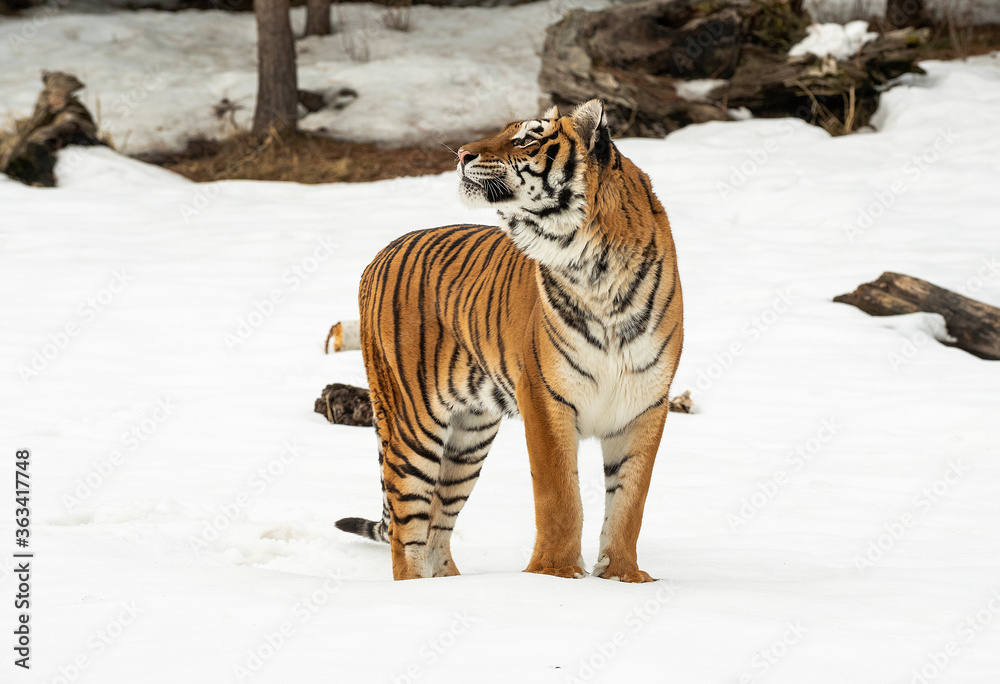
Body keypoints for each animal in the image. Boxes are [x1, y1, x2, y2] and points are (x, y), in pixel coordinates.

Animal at [336, 100, 683, 583]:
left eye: (527, 138)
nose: (462, 153)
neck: (596, 270)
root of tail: (379, 255)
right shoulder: (545, 397)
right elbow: (560, 496)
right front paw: (554, 574)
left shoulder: (645, 403)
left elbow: (630, 502)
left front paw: (622, 577)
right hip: (412, 422)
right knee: (407, 528)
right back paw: (414, 592)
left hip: (469, 435)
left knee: (438, 525)